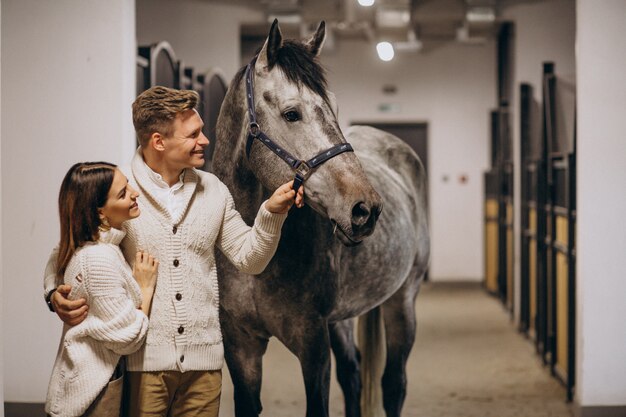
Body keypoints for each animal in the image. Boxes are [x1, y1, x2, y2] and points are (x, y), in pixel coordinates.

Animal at [212, 20, 426, 417]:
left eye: (335, 108)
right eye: (292, 113)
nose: (365, 208)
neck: (251, 248)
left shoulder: (312, 344)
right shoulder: (240, 345)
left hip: (402, 300)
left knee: (394, 384)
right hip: (342, 319)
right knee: (353, 373)